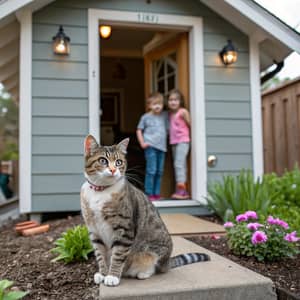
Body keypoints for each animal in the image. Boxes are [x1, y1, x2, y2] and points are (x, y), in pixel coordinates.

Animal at [81, 135, 210, 286]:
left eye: (118, 162)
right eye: (103, 160)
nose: (113, 170)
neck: (100, 192)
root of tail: (167, 262)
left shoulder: (124, 230)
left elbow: (118, 255)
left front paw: (112, 276)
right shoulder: (94, 231)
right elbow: (100, 255)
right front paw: (102, 273)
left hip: (154, 251)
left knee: (155, 267)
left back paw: (143, 273)